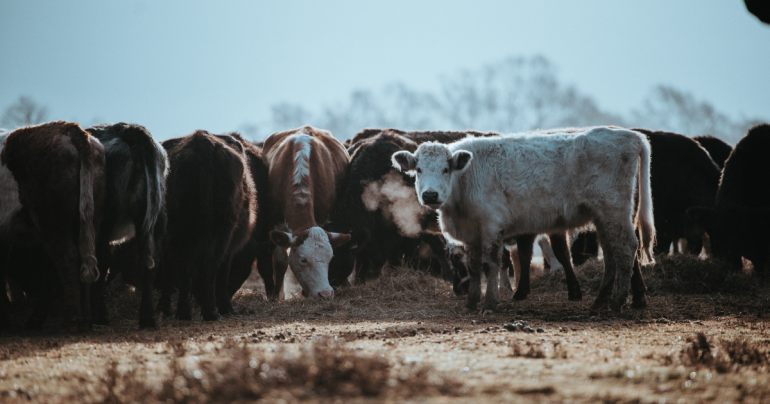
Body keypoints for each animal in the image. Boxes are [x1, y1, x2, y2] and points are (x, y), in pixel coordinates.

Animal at [0, 121, 105, 330]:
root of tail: (69, 128)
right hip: (89, 219)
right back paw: (85, 320)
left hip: (52, 221)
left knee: (67, 258)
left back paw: (72, 320)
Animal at [158, 131, 256, 320]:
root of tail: (203, 141)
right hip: (223, 227)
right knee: (210, 262)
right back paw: (211, 311)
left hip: (184, 230)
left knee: (187, 265)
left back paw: (185, 312)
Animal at [262, 126, 350, 300]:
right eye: (303, 260)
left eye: (330, 258)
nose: (325, 294)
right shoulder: (276, 222)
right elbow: (280, 261)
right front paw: (277, 296)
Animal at [392, 125, 652, 312]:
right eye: (418, 170)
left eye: (445, 170)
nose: (430, 194)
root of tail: (629, 135)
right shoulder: (472, 233)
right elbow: (475, 267)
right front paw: (471, 303)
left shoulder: (492, 226)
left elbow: (492, 264)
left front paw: (490, 304)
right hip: (603, 217)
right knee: (610, 253)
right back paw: (600, 301)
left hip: (614, 210)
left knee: (626, 248)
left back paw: (617, 302)